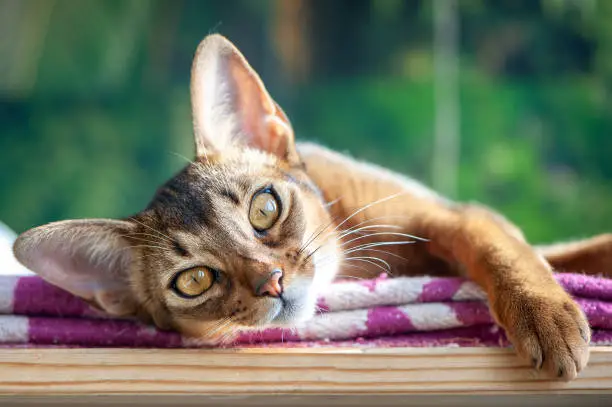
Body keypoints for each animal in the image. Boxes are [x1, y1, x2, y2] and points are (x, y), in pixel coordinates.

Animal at [10, 33, 612, 380]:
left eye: (264, 209)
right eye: (194, 280)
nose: (271, 281)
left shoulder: (456, 214)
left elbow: (508, 253)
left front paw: (546, 316)